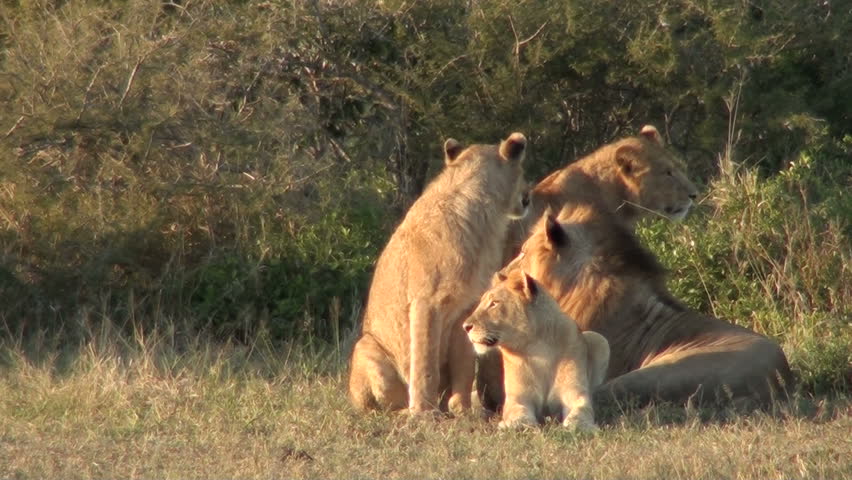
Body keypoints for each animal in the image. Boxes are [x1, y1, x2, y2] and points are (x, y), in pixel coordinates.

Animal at [348, 133, 530, 415]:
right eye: (521, 171)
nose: (527, 198)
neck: (483, 215)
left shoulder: (467, 306)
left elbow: (465, 363)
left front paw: (463, 410)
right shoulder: (425, 303)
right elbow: (425, 363)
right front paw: (424, 412)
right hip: (366, 346)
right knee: (378, 407)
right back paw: (406, 411)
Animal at [463, 269, 609, 430]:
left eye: (494, 303)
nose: (465, 327)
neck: (538, 346)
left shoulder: (574, 394)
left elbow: (582, 409)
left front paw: (580, 425)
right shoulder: (517, 398)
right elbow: (518, 412)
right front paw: (515, 425)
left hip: (599, 339)